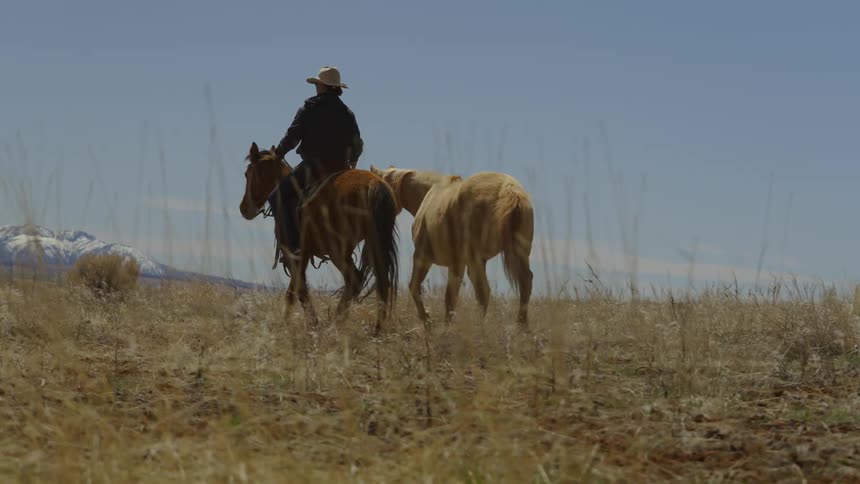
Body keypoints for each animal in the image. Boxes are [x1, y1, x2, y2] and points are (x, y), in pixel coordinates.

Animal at [240, 142, 399, 334]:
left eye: (248, 173)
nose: (243, 208)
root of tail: (374, 184)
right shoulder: (304, 255)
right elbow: (297, 287)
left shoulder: (292, 254)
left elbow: (296, 290)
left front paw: (302, 323)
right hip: (374, 243)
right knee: (381, 282)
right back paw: (375, 330)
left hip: (338, 251)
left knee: (354, 280)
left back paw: (336, 323)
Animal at [369, 165, 534, 327]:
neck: (431, 192)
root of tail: (510, 192)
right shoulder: (465, 264)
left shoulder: (423, 257)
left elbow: (418, 288)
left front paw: (428, 320)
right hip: (512, 255)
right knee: (523, 283)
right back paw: (521, 326)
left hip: (470, 261)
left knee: (476, 293)